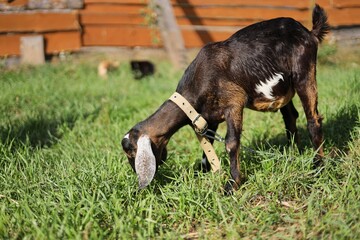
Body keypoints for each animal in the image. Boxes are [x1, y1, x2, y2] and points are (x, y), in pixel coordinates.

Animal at [121, 4, 330, 194]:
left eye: (131, 151)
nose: (136, 177)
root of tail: (309, 32)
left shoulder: (234, 102)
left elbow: (231, 143)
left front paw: (232, 184)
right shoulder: (208, 117)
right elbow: (207, 147)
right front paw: (203, 173)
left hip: (304, 73)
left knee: (313, 120)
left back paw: (318, 166)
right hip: (284, 87)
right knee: (290, 116)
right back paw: (292, 152)